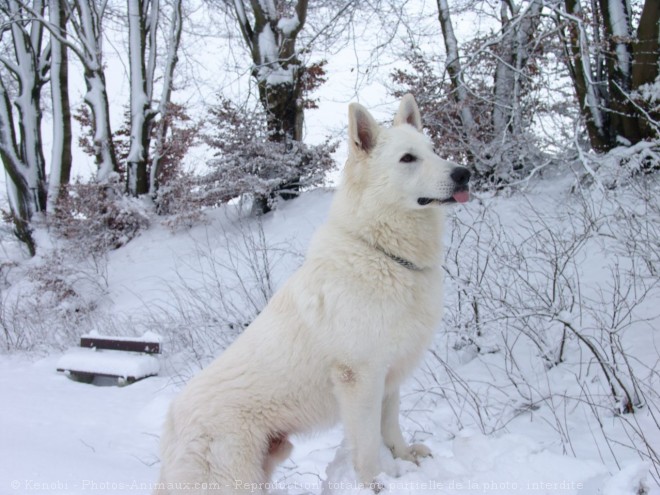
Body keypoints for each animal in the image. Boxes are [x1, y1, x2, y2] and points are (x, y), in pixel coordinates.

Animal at [158, 95, 472, 494]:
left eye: (433, 151)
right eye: (408, 158)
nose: (464, 173)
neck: (382, 252)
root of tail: (170, 429)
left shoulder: (389, 376)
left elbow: (390, 426)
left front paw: (405, 459)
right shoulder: (361, 379)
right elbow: (367, 444)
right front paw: (375, 483)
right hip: (235, 478)